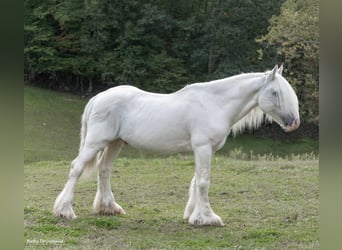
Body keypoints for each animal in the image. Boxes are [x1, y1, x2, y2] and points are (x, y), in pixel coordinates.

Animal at [52, 65, 300, 227]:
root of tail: (98, 98)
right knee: (76, 168)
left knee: (104, 170)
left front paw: (193, 214)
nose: (293, 122)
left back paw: (109, 207)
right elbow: (203, 181)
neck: (215, 104)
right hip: (96, 142)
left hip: (115, 143)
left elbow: (196, 181)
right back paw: (64, 211)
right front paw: (207, 218)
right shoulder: (203, 148)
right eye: (275, 92)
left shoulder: (204, 150)